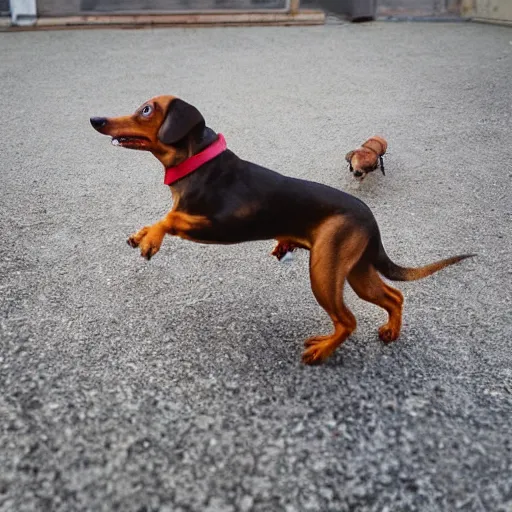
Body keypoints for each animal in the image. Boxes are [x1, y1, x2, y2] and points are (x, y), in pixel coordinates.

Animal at [91, 93, 472, 364]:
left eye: (146, 110)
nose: (96, 119)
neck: (199, 162)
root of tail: (371, 219)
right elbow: (167, 216)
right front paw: (143, 233)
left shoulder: (221, 225)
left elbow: (171, 218)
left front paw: (151, 238)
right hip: (354, 271)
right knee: (394, 296)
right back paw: (390, 332)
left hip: (323, 272)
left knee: (348, 320)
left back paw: (322, 350)